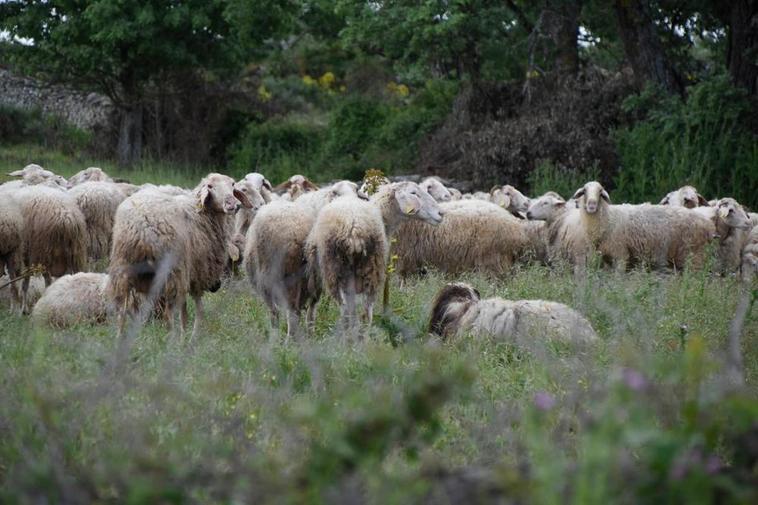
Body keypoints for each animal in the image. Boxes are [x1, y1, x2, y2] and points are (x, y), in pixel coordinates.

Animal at [576, 179, 720, 270]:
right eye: (584, 191)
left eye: (600, 192)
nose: (592, 205)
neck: (608, 218)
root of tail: (707, 222)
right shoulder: (607, 258)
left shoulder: (621, 255)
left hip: (695, 256)